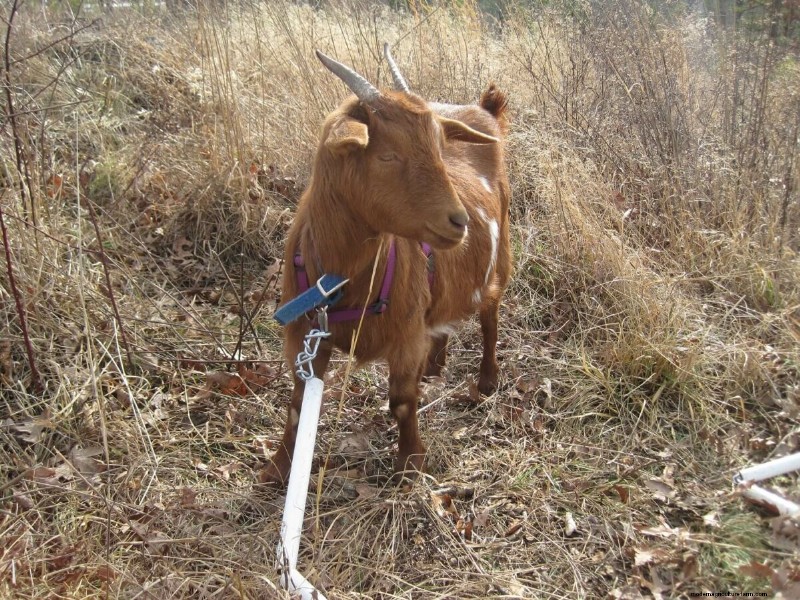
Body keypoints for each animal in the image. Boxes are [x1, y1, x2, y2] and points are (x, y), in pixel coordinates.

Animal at [260, 48, 512, 485]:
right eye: (388, 155)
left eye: (440, 148)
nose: (458, 221)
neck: (339, 278)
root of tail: (484, 108)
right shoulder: (306, 334)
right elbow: (298, 400)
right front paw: (279, 466)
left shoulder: (405, 336)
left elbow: (402, 400)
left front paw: (411, 464)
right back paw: (435, 365)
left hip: (501, 259)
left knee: (489, 317)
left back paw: (487, 380)